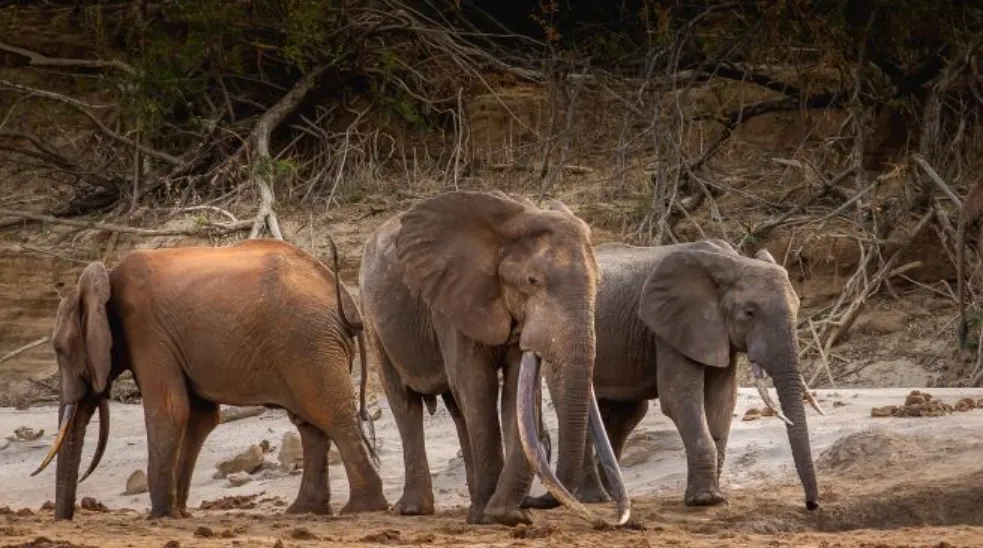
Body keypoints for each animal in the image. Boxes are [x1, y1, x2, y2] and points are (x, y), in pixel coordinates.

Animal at [32, 237, 388, 520]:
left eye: (59, 349)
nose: (65, 519)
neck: (106, 278)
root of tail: (344, 298)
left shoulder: (148, 332)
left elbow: (169, 411)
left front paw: (158, 516)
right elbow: (200, 417)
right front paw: (177, 513)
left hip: (308, 342)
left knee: (329, 414)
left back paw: (361, 509)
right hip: (309, 346)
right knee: (310, 423)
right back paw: (304, 512)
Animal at [358, 190, 629, 527]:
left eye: (599, 282)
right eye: (532, 281)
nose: (608, 521)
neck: (514, 219)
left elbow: (515, 390)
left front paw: (508, 515)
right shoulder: (452, 301)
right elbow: (477, 384)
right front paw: (495, 516)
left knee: (456, 407)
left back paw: (475, 507)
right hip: (371, 315)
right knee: (405, 401)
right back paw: (415, 510)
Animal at [523, 239, 824, 511]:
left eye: (797, 308)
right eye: (749, 313)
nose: (812, 504)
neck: (732, 261)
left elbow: (722, 401)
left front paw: (716, 497)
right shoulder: (670, 328)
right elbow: (679, 398)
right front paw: (706, 500)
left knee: (627, 414)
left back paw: (613, 494)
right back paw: (595, 498)